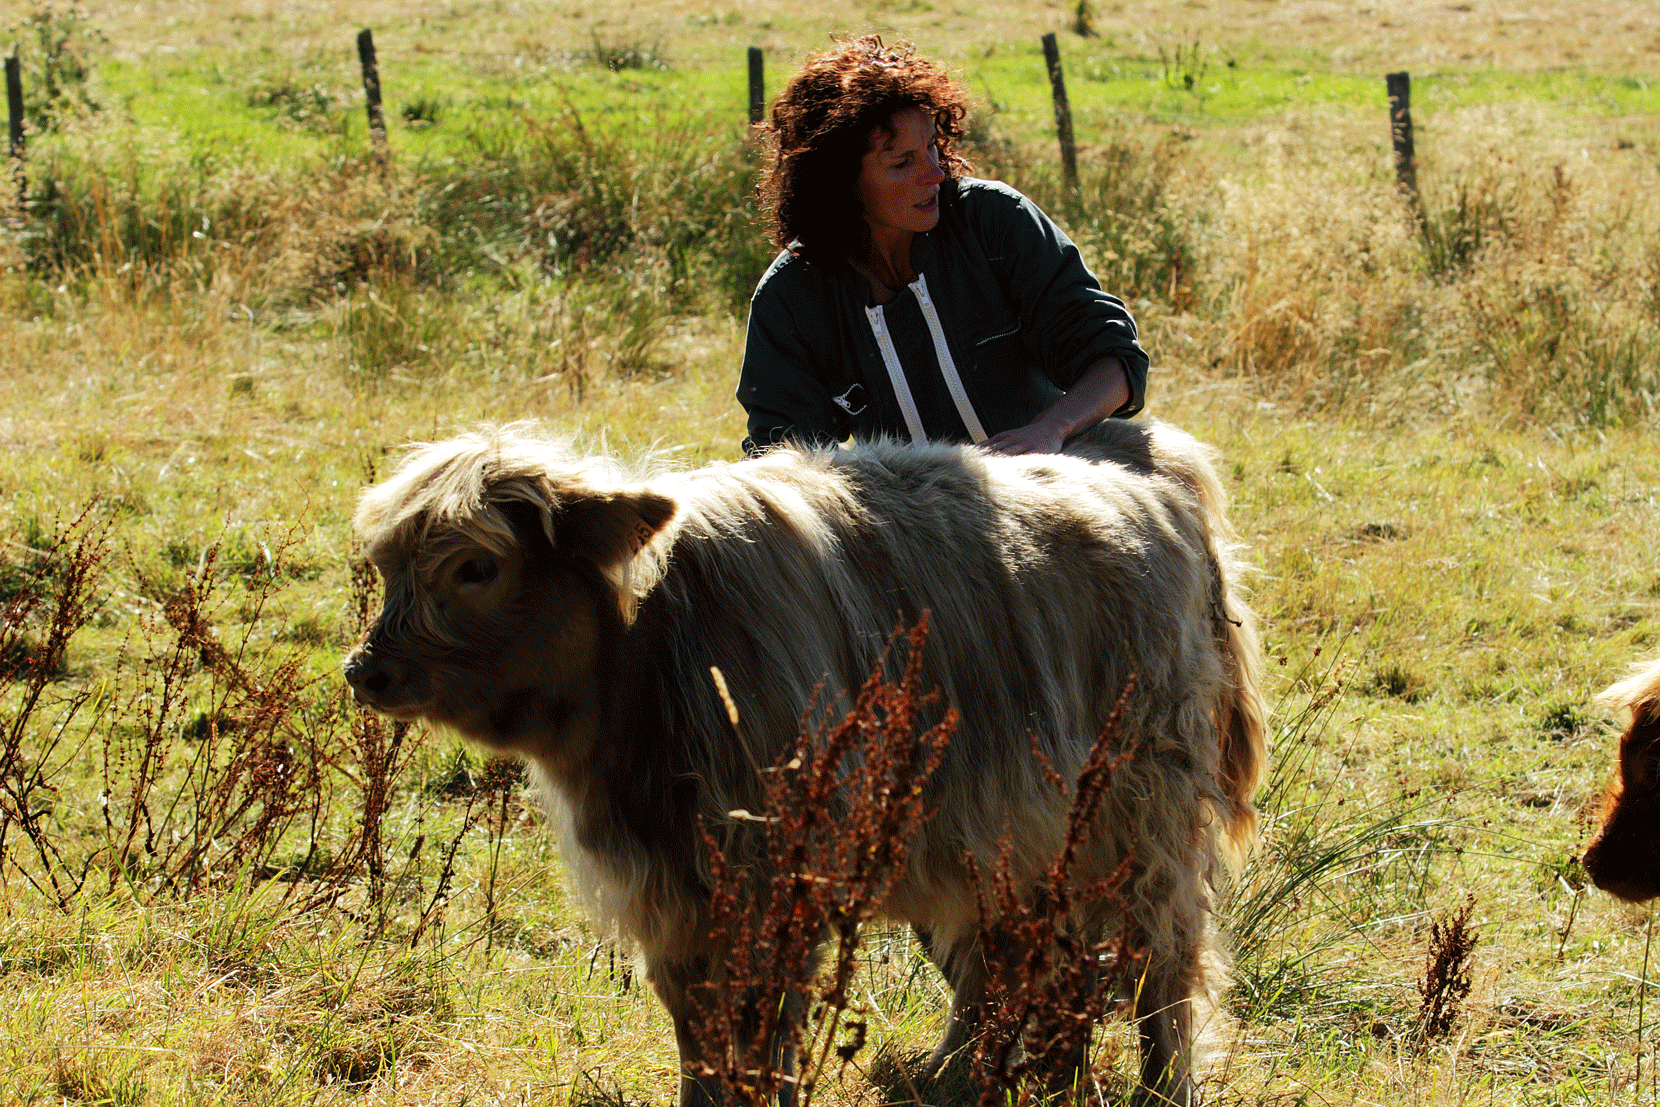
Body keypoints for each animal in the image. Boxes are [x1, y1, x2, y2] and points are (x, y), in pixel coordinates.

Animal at [343, 419, 1261, 1102]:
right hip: (1015, 828)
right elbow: (700, 1030)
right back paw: (960, 1073)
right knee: (1011, 955)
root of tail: (1154, 474)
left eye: (476, 566)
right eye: (388, 569)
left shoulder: (775, 870)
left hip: (1146, 812)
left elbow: (765, 1025)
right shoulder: (676, 890)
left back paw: (1159, 1087)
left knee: (1163, 966)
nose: (365, 670)